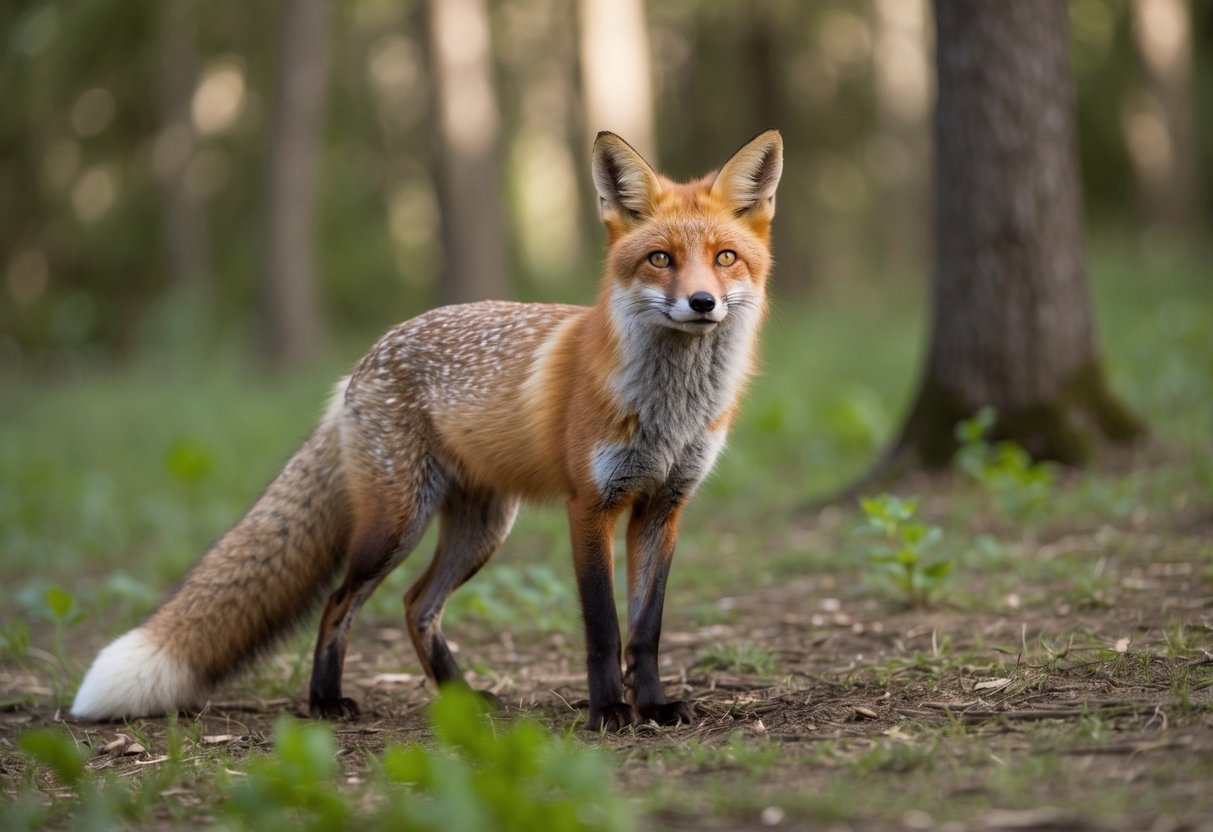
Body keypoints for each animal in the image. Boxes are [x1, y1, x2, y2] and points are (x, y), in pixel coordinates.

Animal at [71, 129, 783, 732]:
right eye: (660, 259)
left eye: (725, 258)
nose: (702, 303)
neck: (670, 411)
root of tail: (365, 359)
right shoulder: (590, 506)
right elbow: (605, 630)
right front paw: (609, 712)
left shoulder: (664, 507)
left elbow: (646, 629)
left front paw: (655, 707)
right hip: (395, 526)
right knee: (339, 602)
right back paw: (325, 701)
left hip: (480, 530)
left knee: (417, 604)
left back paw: (461, 699)